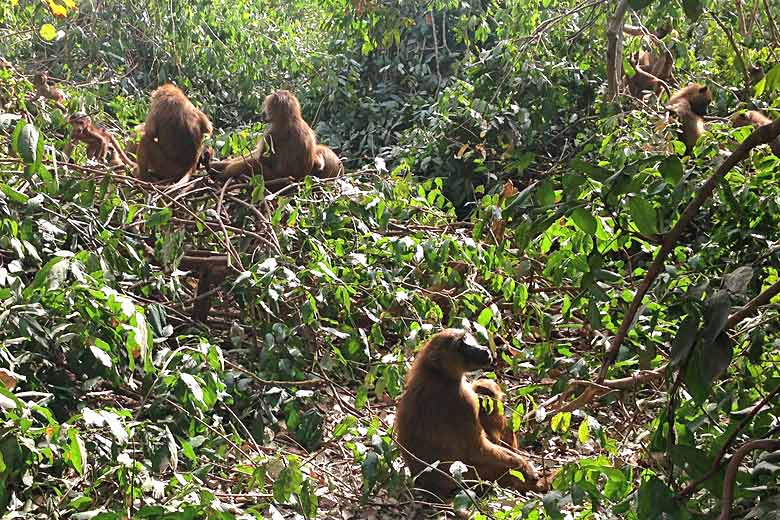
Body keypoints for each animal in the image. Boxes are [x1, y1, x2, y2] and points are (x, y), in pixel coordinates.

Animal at [394, 330, 544, 500]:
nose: (484, 350)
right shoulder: (465, 401)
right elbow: (477, 451)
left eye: (466, 337)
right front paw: (527, 467)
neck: (438, 374)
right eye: (460, 345)